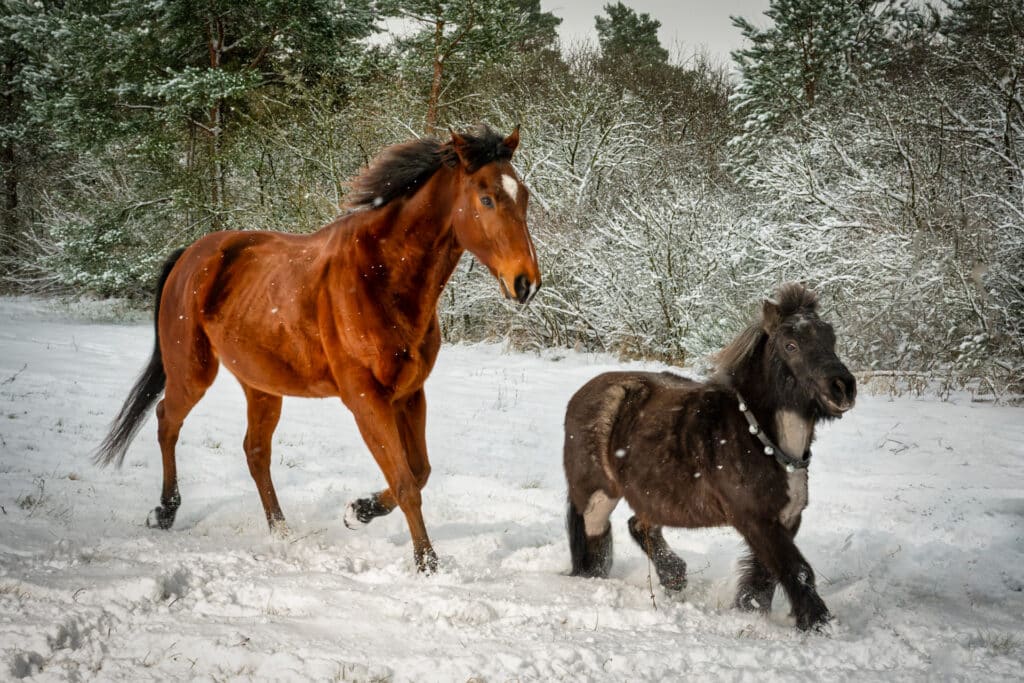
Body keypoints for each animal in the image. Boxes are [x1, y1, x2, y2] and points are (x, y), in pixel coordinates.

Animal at [95, 125, 540, 572]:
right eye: (486, 198)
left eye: (524, 195)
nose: (526, 283)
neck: (380, 277)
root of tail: (191, 255)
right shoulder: (366, 399)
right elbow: (405, 482)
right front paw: (427, 563)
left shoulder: (410, 395)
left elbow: (419, 471)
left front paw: (359, 511)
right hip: (192, 372)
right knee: (167, 420)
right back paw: (165, 512)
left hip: (262, 386)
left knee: (255, 451)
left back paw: (281, 532)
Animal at [563, 283, 856, 630]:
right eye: (791, 344)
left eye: (831, 338)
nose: (843, 388)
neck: (760, 437)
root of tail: (582, 394)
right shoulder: (755, 519)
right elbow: (797, 570)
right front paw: (819, 624)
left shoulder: (786, 518)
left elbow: (765, 576)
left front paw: (750, 612)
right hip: (597, 495)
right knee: (595, 539)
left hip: (654, 496)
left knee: (639, 525)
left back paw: (674, 577)